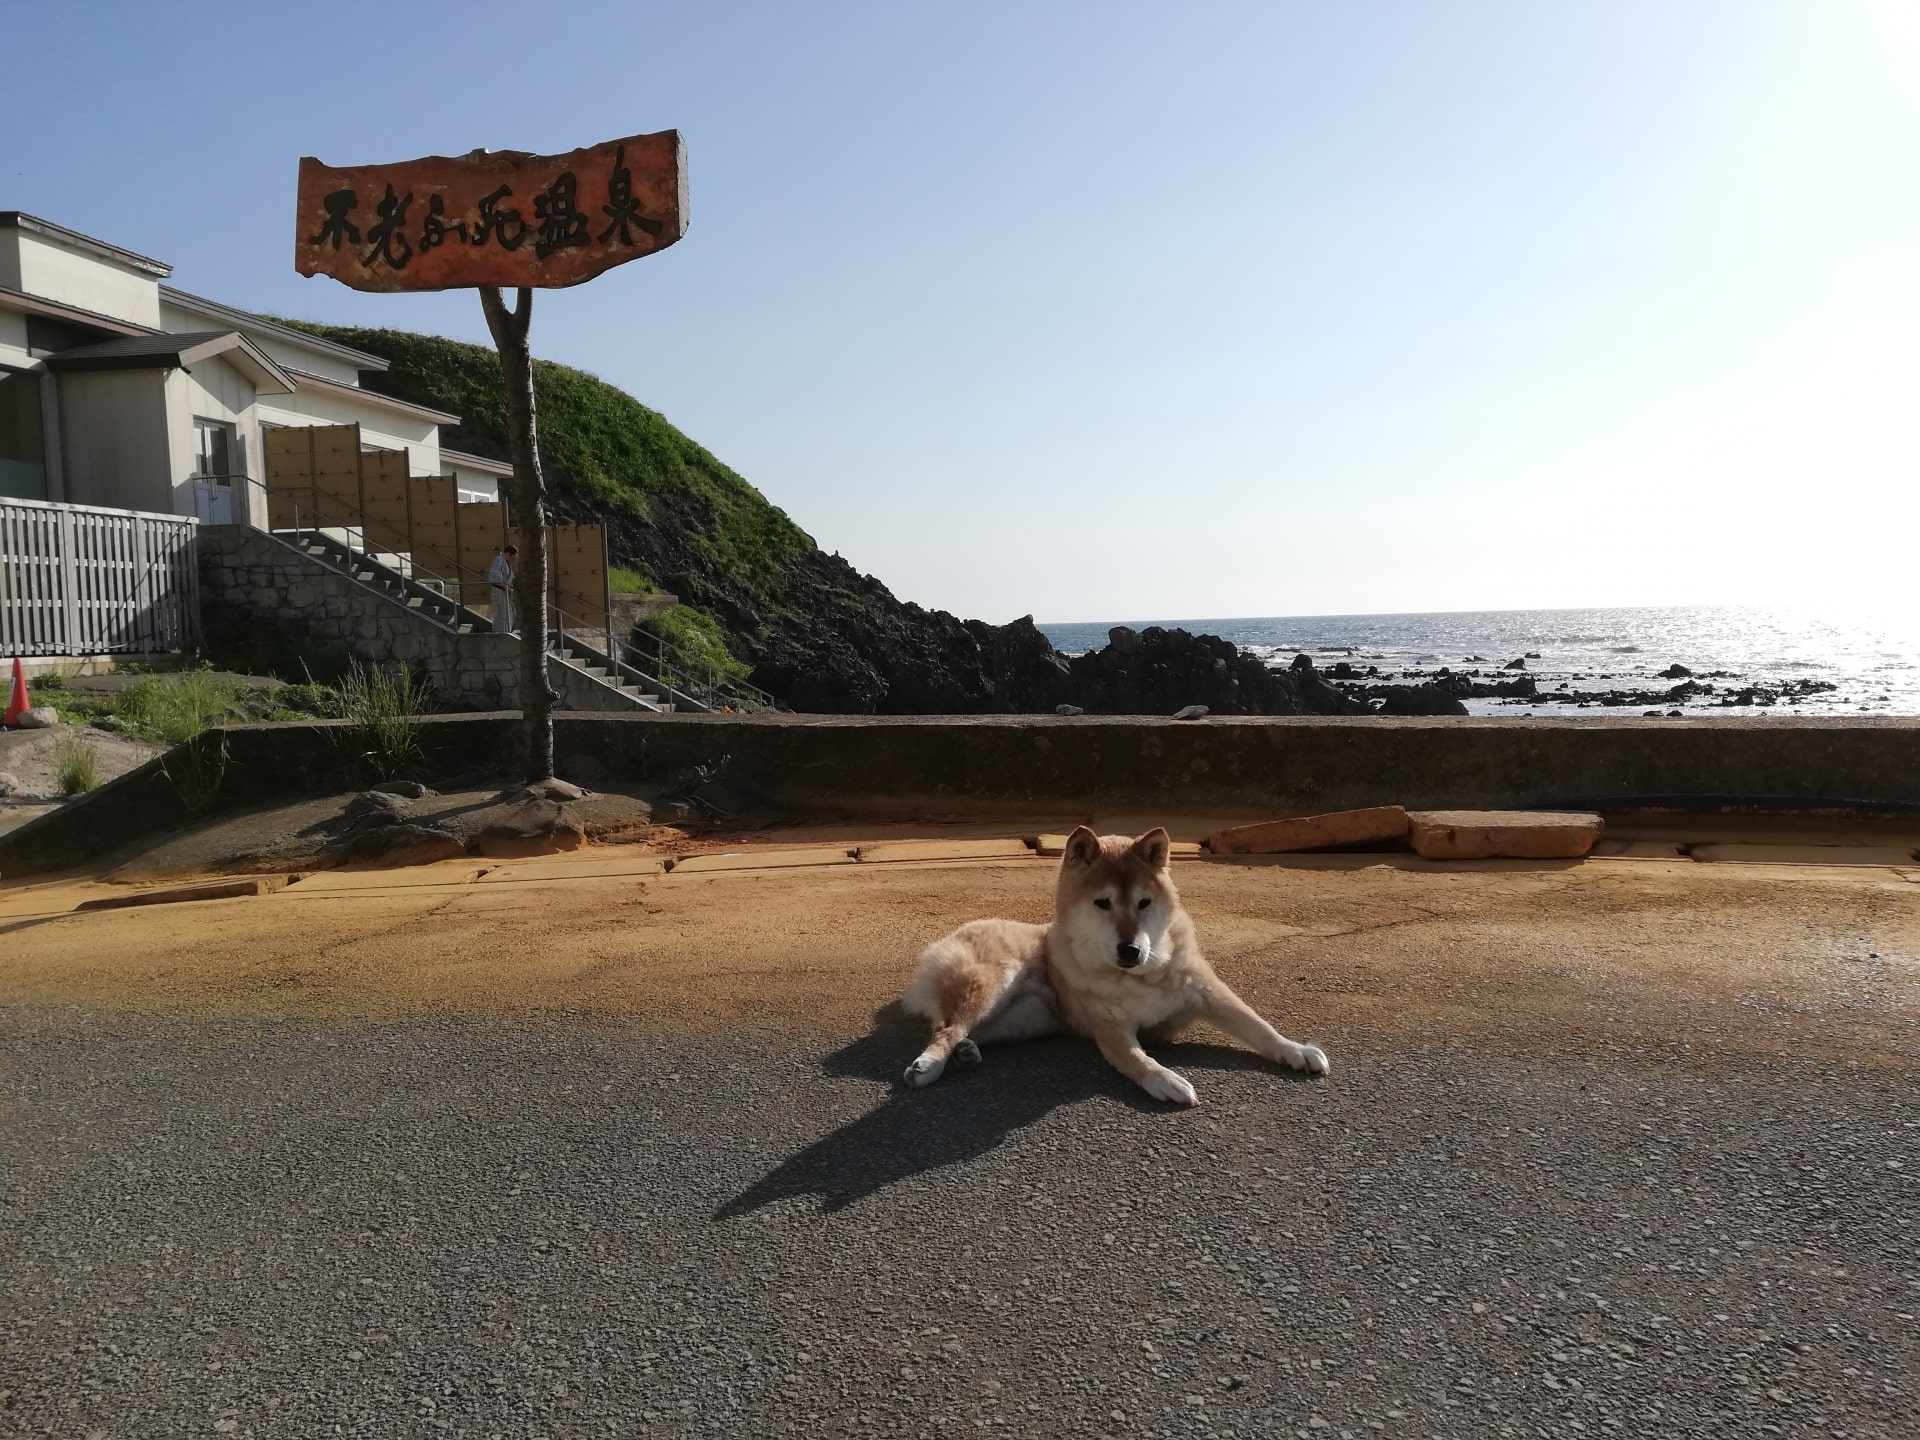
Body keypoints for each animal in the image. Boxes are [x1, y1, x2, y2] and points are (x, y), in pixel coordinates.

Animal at [902, 821, 1336, 1105]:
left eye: (1144, 903)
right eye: (1102, 903)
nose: (1130, 949)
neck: (1146, 974)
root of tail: (958, 930)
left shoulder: (1208, 992)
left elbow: (1258, 1027)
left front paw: (1296, 1051)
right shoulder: (1110, 1028)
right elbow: (1136, 1058)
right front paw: (1167, 1080)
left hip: (1030, 1018)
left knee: (962, 1029)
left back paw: (967, 1052)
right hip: (993, 984)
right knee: (946, 1028)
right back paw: (930, 1065)